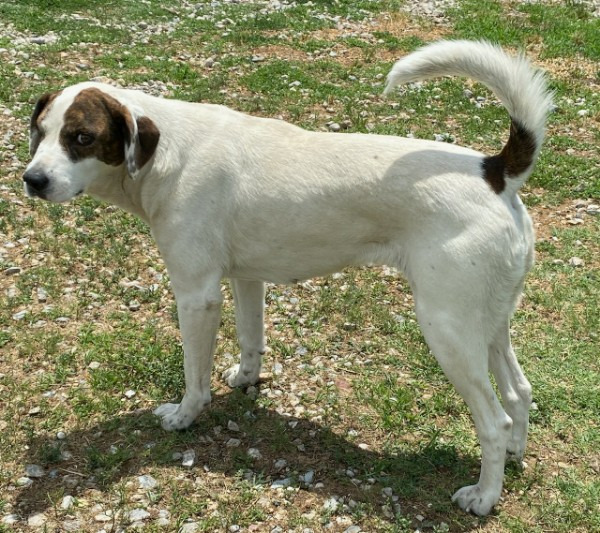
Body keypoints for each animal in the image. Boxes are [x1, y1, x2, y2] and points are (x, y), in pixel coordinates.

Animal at [23, 39, 552, 512]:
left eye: (81, 137)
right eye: (40, 132)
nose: (31, 180)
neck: (167, 154)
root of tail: (494, 171)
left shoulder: (196, 295)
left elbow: (195, 377)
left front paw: (184, 416)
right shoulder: (245, 278)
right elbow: (251, 339)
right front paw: (245, 379)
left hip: (446, 330)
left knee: (494, 421)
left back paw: (483, 497)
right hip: (487, 322)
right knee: (519, 391)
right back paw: (514, 458)